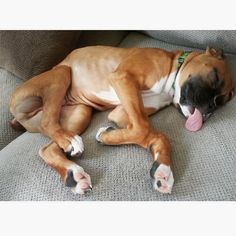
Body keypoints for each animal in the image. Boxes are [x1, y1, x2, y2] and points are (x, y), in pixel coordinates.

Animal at [9, 45, 234, 194]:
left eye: (222, 101)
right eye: (215, 77)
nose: (211, 108)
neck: (173, 70)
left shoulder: (121, 113)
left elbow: (152, 133)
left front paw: (162, 168)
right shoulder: (123, 79)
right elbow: (143, 128)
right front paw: (105, 136)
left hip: (80, 112)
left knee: (47, 148)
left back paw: (74, 174)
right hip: (62, 74)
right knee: (49, 123)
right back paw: (71, 143)